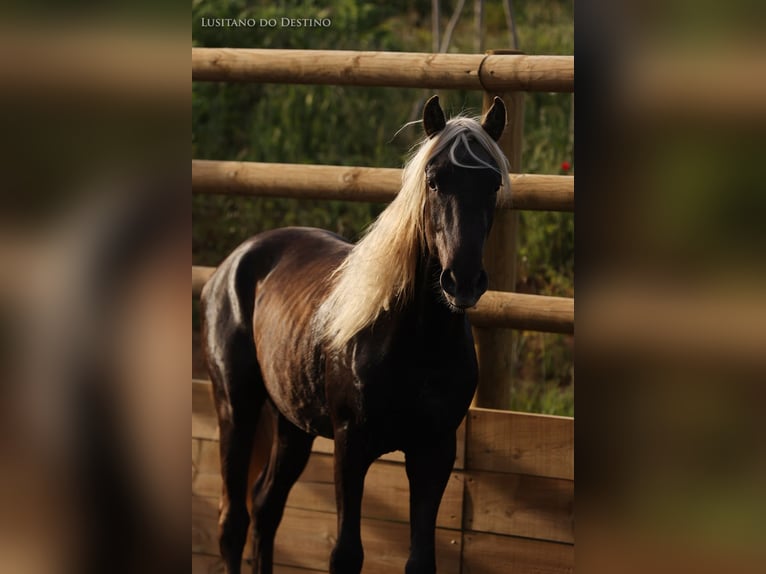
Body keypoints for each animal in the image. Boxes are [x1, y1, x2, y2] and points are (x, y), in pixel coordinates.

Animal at [201, 95, 510, 574]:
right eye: (434, 181)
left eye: (492, 184)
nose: (462, 281)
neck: (416, 343)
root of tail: (232, 264)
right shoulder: (352, 447)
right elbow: (346, 554)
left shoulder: (435, 452)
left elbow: (420, 560)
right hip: (236, 408)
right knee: (233, 522)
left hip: (293, 424)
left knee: (265, 508)